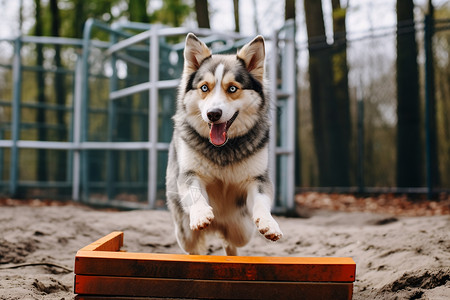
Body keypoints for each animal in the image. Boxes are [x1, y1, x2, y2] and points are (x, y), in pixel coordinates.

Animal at [167, 33, 284, 255]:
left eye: (232, 88)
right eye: (204, 87)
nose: (213, 114)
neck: (223, 149)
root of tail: (219, 225)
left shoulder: (258, 179)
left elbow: (262, 202)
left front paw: (269, 223)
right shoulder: (189, 174)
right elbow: (195, 193)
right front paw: (201, 213)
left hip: (241, 230)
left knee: (231, 243)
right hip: (185, 234)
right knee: (195, 248)